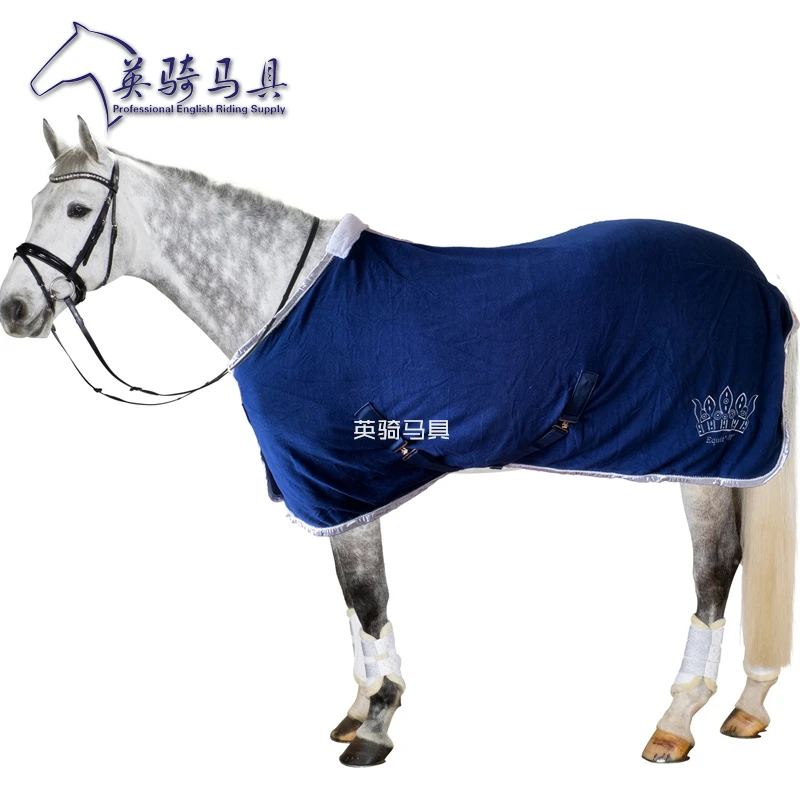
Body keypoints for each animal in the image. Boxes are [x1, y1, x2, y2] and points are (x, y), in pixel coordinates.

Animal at [1, 117, 795, 767]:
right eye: (35, 204)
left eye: (77, 210)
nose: (13, 309)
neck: (289, 303)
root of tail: (761, 282)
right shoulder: (333, 494)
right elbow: (353, 606)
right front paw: (357, 710)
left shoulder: (343, 481)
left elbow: (368, 597)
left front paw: (379, 723)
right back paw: (743, 709)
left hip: (703, 458)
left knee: (714, 570)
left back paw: (676, 720)